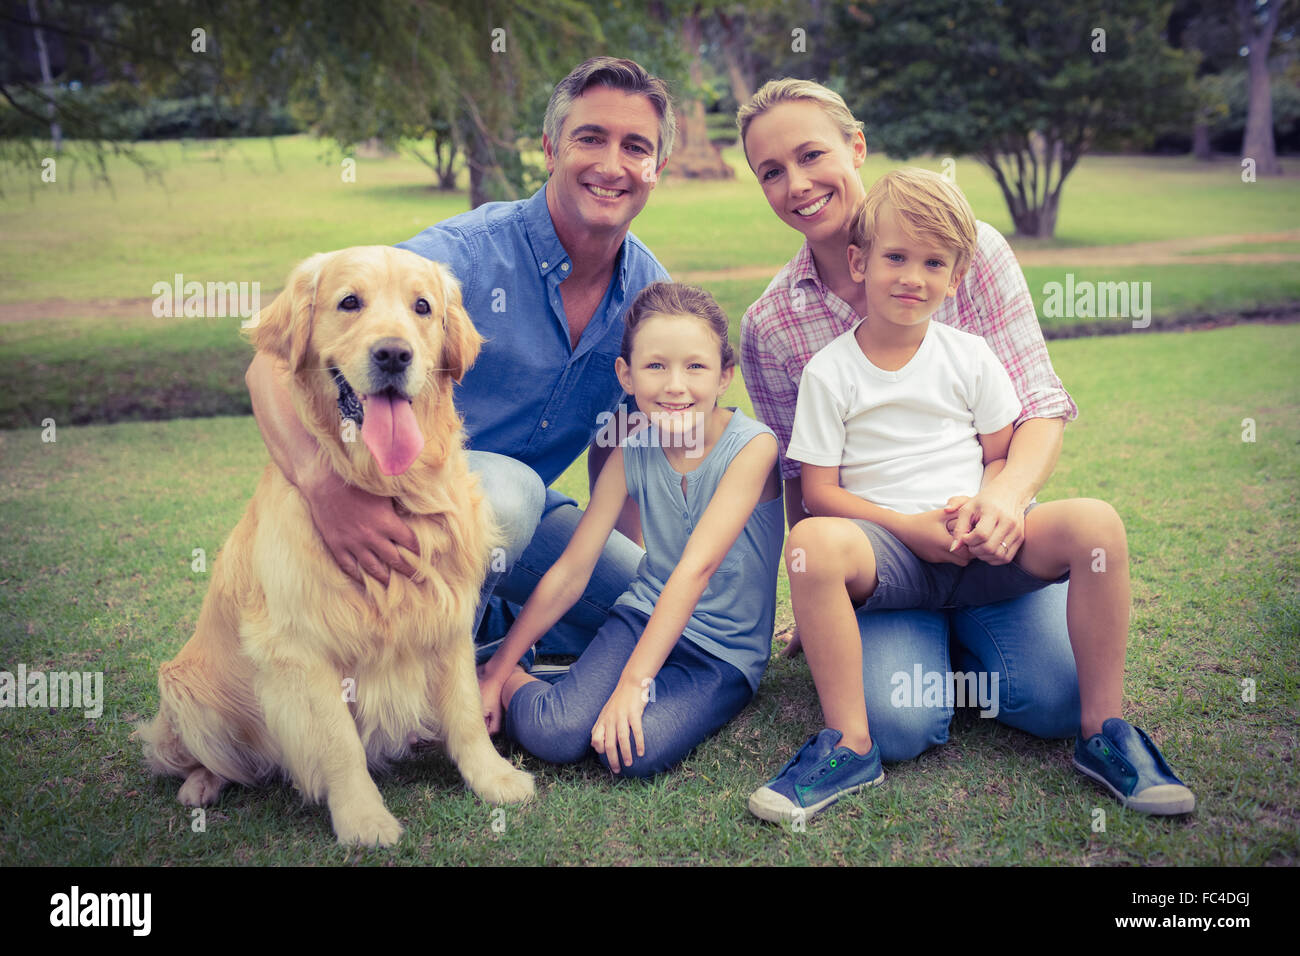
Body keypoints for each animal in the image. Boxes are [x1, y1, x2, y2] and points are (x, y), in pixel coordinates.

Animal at [135, 244, 533, 842]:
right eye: (350, 302)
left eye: (422, 306)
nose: (393, 354)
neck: (388, 486)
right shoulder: (301, 647)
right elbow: (338, 743)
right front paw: (363, 819)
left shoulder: (448, 615)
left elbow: (465, 711)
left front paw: (494, 777)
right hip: (186, 694)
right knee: (206, 760)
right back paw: (200, 785)